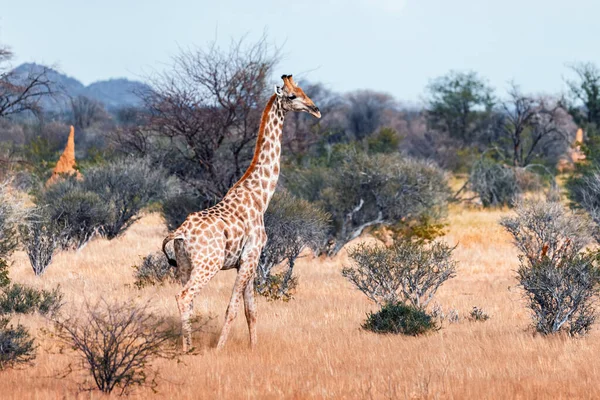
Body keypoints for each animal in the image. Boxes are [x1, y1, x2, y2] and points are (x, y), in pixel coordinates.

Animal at [159, 74, 318, 350]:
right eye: (292, 96)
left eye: (303, 91)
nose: (315, 109)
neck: (261, 196)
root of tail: (179, 234)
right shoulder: (251, 256)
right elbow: (232, 309)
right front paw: (219, 348)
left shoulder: (246, 261)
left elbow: (250, 310)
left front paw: (253, 348)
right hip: (207, 265)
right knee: (184, 296)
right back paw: (189, 348)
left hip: (184, 266)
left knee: (188, 301)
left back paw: (188, 347)